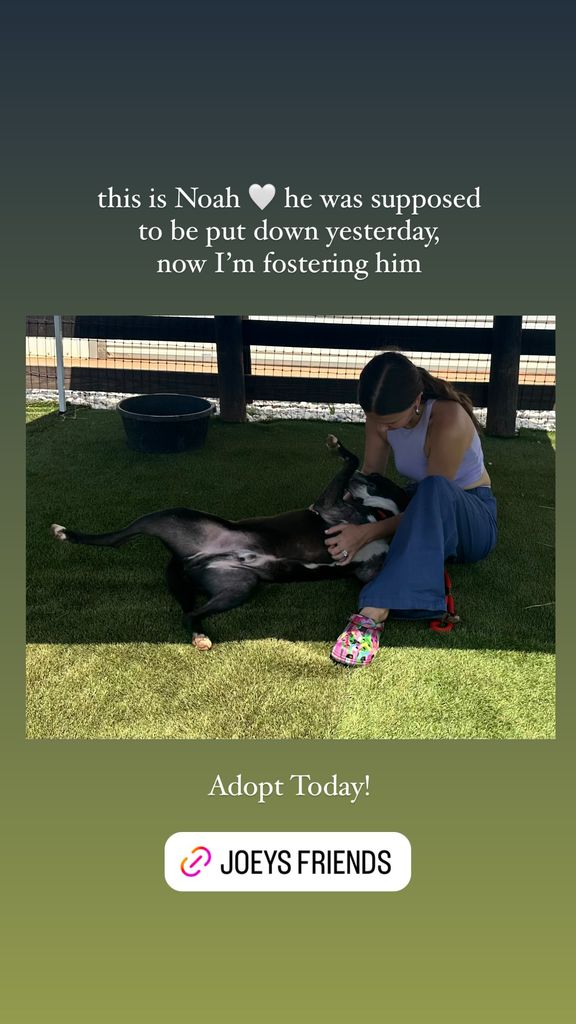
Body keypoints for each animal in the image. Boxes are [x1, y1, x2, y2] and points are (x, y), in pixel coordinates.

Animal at [51, 434, 405, 647]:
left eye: (377, 479)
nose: (362, 477)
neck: (374, 519)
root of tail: (187, 560)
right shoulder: (327, 505)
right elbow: (351, 459)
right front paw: (339, 448)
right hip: (167, 516)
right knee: (115, 539)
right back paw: (66, 533)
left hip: (238, 587)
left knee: (190, 613)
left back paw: (199, 636)